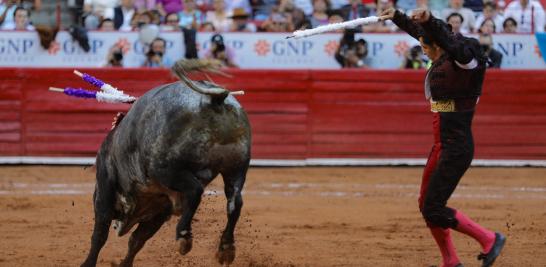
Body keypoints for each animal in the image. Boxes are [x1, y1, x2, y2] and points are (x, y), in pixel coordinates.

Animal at [81, 81, 251, 267]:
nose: (116, 225)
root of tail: (215, 99)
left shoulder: (105, 188)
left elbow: (100, 233)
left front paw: (88, 264)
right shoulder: (161, 210)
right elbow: (137, 240)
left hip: (164, 169)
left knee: (195, 191)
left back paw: (183, 236)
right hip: (236, 168)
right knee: (235, 202)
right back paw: (226, 248)